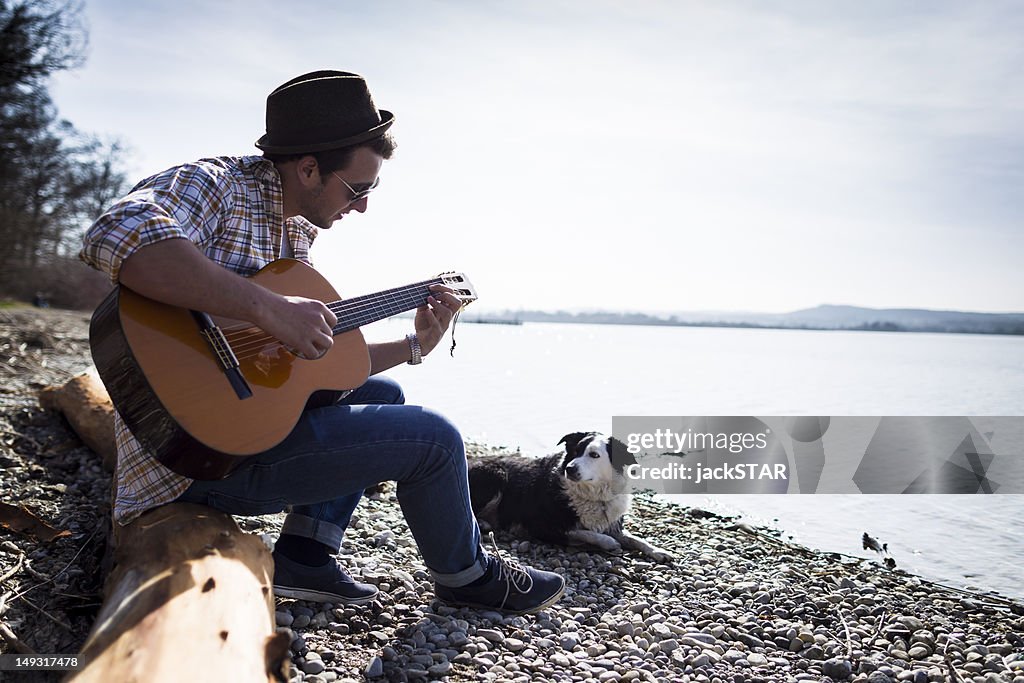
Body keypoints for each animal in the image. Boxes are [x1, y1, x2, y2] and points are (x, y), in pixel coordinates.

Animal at [466, 432, 671, 561]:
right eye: (575, 452)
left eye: (594, 455)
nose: (570, 469)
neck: (593, 495)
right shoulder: (541, 526)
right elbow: (585, 532)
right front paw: (608, 542)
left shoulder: (612, 524)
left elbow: (635, 538)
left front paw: (657, 550)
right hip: (496, 473)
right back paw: (482, 523)